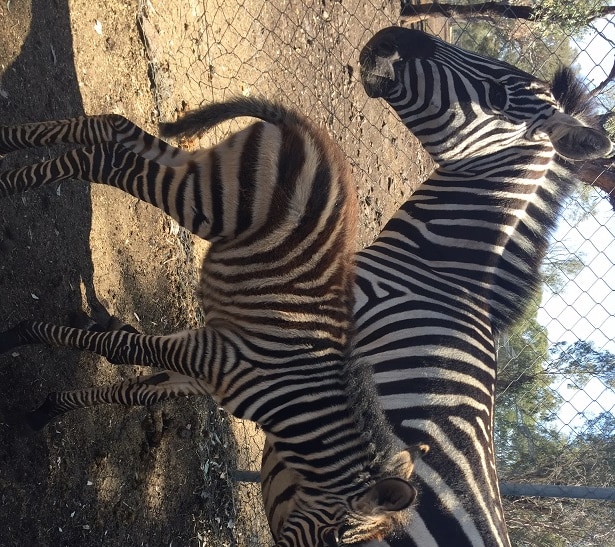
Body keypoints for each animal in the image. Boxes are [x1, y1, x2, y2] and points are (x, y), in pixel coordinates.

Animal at [0, 97, 424, 547]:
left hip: (207, 172)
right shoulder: (209, 354)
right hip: (209, 199)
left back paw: (4, 145)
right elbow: (117, 349)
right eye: (331, 541)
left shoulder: (206, 373)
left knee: (112, 130)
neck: (290, 399)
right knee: (106, 160)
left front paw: (45, 412)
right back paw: (7, 185)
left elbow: (135, 393)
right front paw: (17, 335)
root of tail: (305, 128)